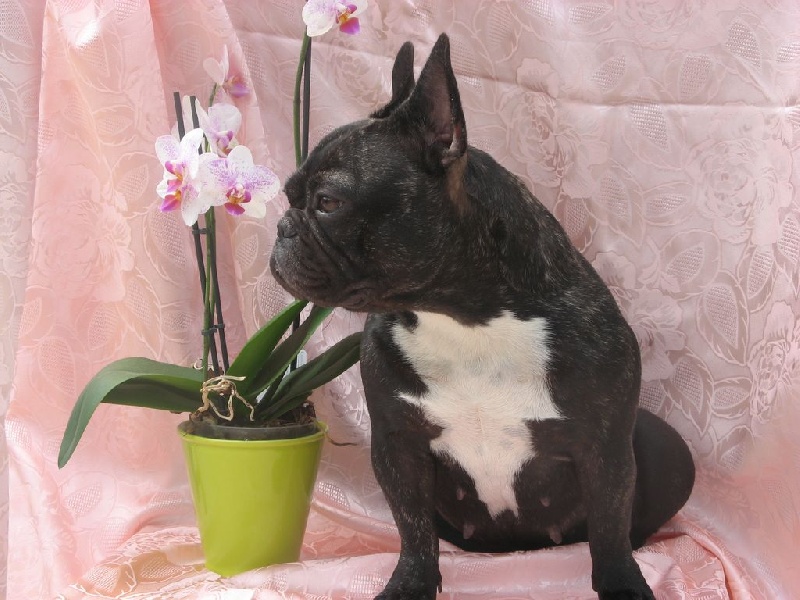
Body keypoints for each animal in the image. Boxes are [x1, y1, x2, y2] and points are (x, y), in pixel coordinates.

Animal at [270, 34, 695, 600]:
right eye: (289, 197)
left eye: (327, 202)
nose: (282, 227)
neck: (463, 318)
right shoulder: (397, 444)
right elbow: (413, 530)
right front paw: (409, 584)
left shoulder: (605, 446)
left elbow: (609, 532)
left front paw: (625, 585)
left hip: (666, 447)